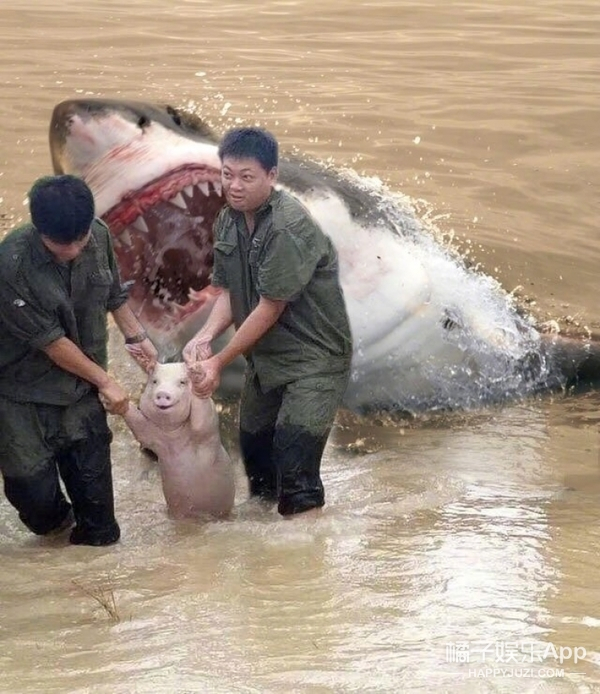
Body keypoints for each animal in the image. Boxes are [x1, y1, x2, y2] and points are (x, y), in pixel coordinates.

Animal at [122, 361, 235, 520]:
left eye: (182, 382)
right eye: (155, 381)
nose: (163, 393)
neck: (173, 437)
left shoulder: (207, 430)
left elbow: (201, 421)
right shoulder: (152, 437)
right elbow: (139, 426)